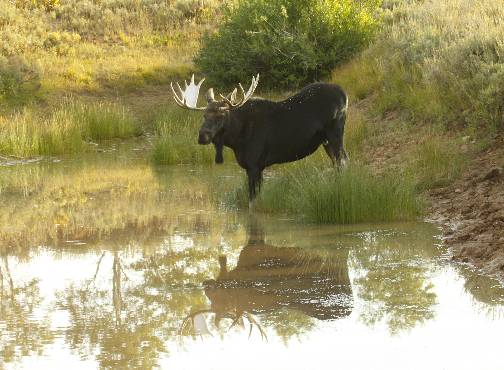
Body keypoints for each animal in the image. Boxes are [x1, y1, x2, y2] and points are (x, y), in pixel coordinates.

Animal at [171, 73, 348, 204]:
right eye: (204, 115)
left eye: (221, 115)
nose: (203, 135)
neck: (236, 140)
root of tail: (344, 94)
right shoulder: (258, 167)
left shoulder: (254, 165)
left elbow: (252, 201)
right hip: (326, 141)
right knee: (338, 162)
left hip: (335, 133)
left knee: (343, 160)